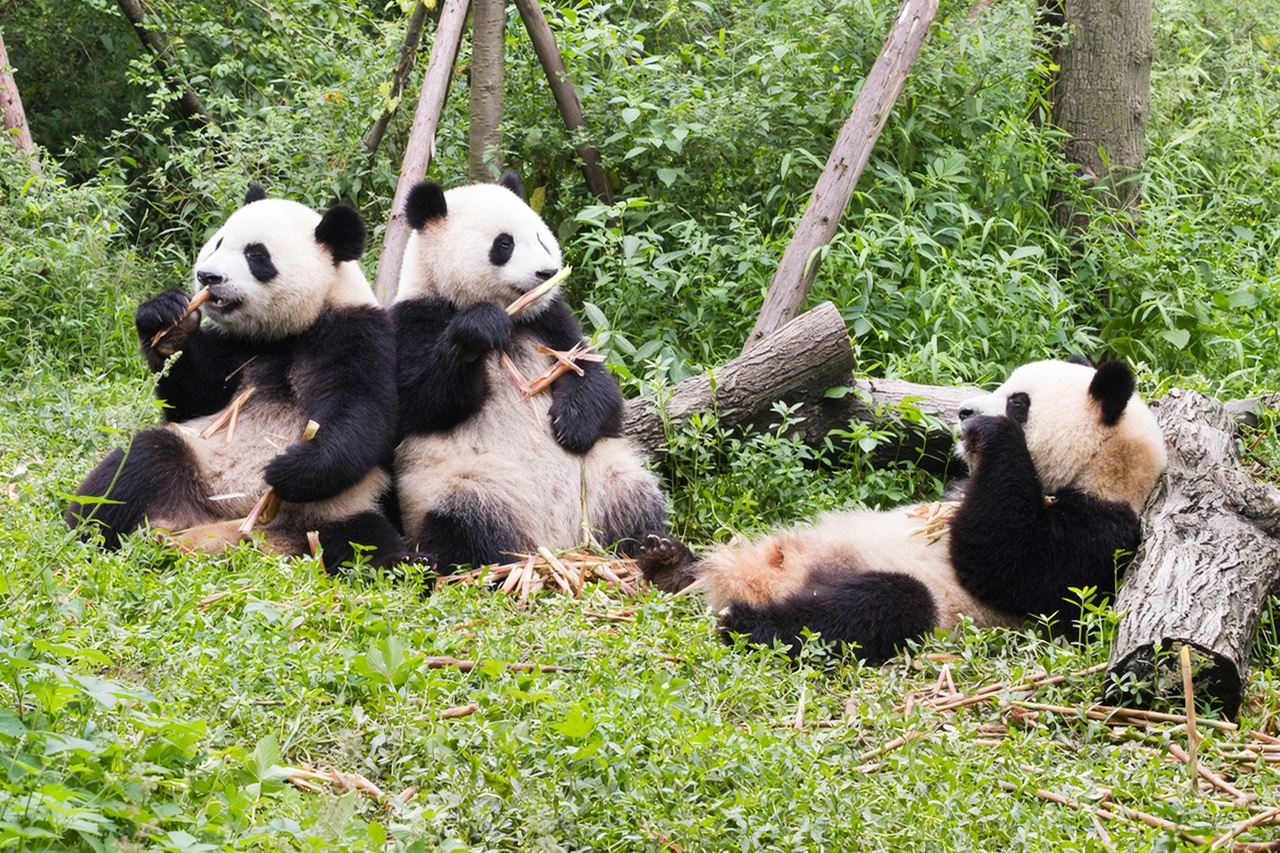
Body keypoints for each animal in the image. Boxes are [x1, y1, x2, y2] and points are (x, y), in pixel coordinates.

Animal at [66, 184, 412, 572]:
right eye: (218, 242)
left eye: (257, 256)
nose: (208, 277)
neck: (290, 331)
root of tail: (229, 528)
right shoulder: (237, 347)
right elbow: (192, 398)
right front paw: (167, 320)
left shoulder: (355, 334)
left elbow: (363, 415)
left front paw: (290, 468)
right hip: (197, 460)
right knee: (139, 463)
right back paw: (88, 532)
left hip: (338, 510)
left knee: (366, 545)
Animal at [391, 171, 666, 567]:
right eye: (504, 244)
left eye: (540, 237)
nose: (546, 272)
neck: (514, 317)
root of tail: (557, 545)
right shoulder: (413, 318)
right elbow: (421, 399)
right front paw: (479, 329)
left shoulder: (550, 319)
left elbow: (593, 379)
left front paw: (572, 424)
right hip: (473, 483)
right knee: (466, 522)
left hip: (604, 478)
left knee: (635, 503)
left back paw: (659, 551)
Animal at [636, 357, 1167, 661]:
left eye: (1019, 402)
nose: (965, 412)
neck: (1102, 470)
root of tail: (758, 582)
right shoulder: (961, 492)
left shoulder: (1102, 531)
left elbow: (1014, 566)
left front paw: (994, 434)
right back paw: (670, 563)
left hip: (921, 599)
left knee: (874, 607)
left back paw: (747, 623)